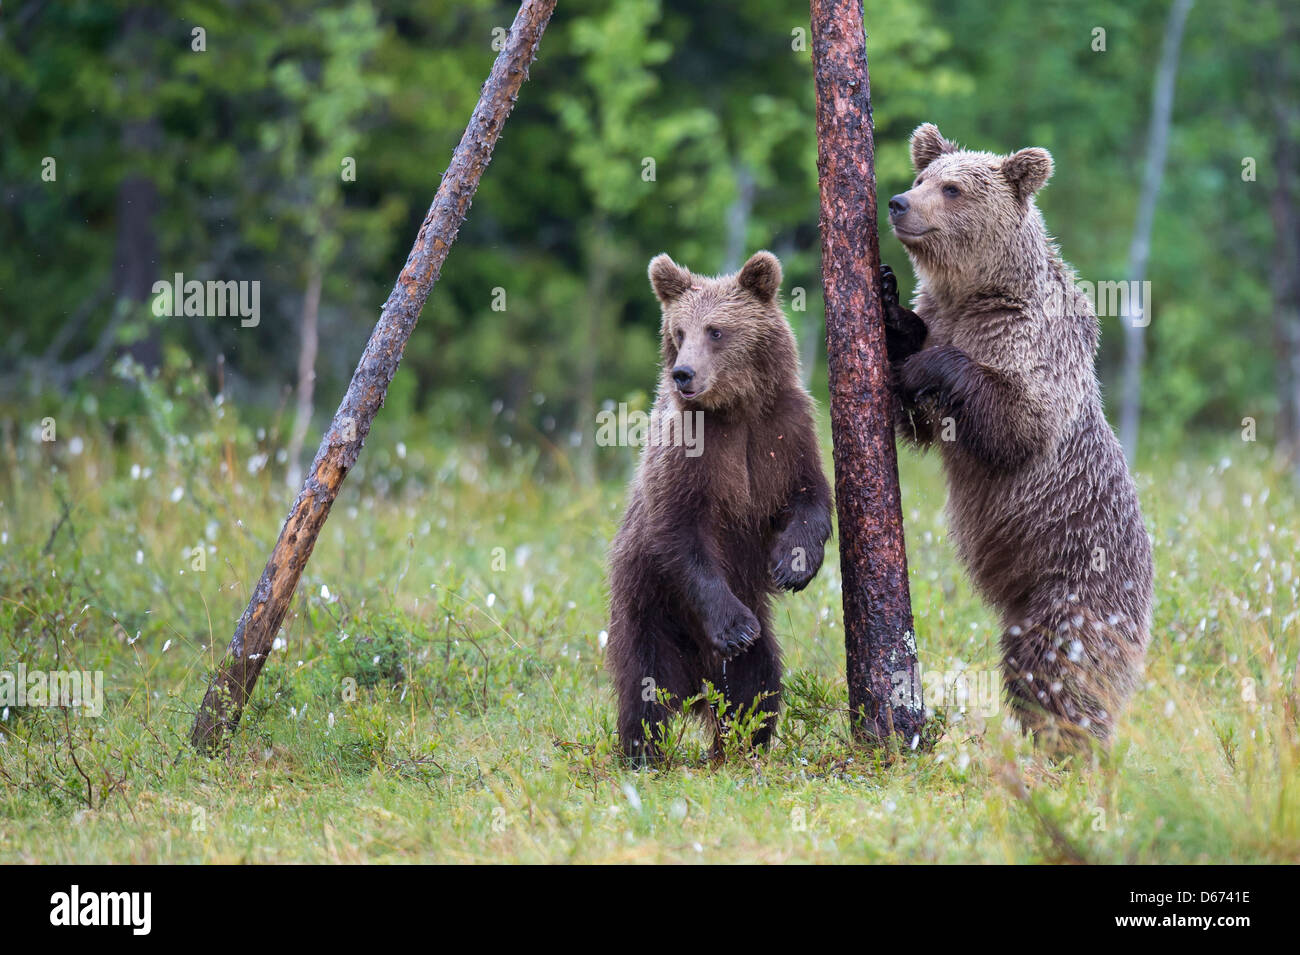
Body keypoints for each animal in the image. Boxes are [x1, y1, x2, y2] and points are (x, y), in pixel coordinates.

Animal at [608, 248, 832, 764]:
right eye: (678, 332)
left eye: (716, 330)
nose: (683, 374)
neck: (735, 410)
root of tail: (699, 681)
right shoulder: (687, 456)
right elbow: (681, 534)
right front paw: (735, 627)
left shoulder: (785, 432)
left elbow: (810, 497)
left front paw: (793, 566)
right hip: (648, 606)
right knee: (645, 687)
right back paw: (642, 754)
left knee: (758, 683)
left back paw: (742, 745)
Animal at [878, 121, 1154, 753]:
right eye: (922, 177)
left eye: (952, 189)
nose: (899, 203)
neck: (974, 294)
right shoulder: (946, 317)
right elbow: (919, 419)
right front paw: (889, 305)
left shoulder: (1030, 342)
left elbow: (1019, 424)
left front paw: (927, 364)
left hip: (1078, 589)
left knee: (1057, 668)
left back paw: (1071, 746)